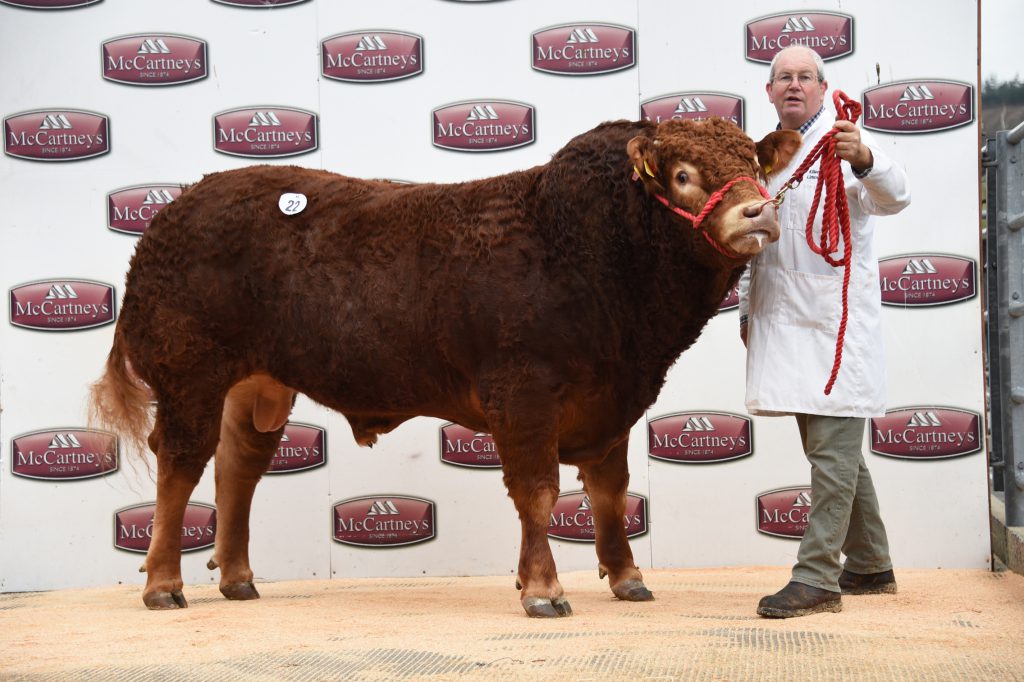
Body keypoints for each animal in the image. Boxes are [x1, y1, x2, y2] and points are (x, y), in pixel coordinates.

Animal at [90, 117, 800, 617]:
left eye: (752, 163)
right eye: (682, 174)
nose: (760, 211)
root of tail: (174, 210)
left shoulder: (614, 397)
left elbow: (610, 491)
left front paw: (627, 578)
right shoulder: (523, 391)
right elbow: (539, 491)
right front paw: (542, 589)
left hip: (258, 383)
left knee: (239, 468)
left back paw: (238, 579)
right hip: (191, 372)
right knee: (181, 465)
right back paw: (163, 584)